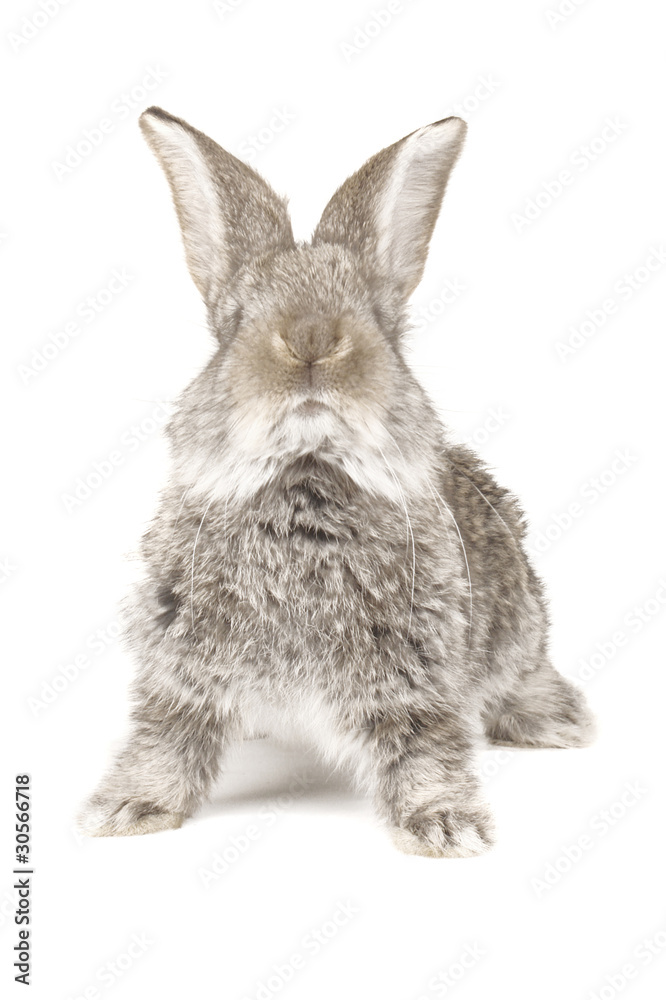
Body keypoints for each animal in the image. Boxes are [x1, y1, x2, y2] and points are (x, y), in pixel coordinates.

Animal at [78, 106, 595, 856]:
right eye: (234, 321)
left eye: (378, 319)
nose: (312, 338)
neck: (305, 476)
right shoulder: (182, 669)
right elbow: (165, 742)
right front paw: (125, 810)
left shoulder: (416, 677)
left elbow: (425, 751)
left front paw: (445, 827)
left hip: (520, 628)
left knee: (523, 674)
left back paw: (559, 722)